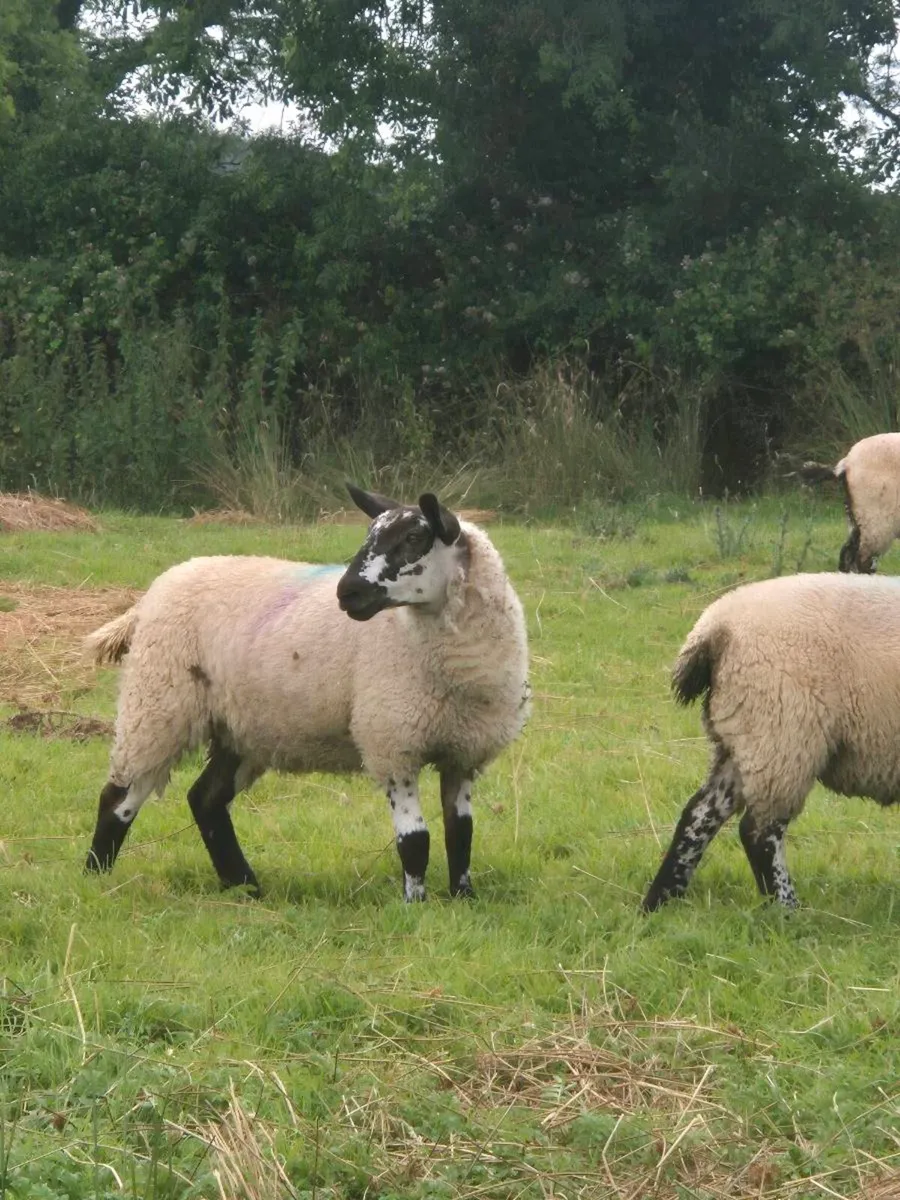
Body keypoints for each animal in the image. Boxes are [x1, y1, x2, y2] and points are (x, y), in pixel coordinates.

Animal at [83, 485, 531, 903]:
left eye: (413, 538)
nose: (347, 592)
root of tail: (150, 595)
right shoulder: (393, 743)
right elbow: (415, 841)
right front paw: (415, 905)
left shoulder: (464, 751)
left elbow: (461, 832)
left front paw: (463, 897)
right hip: (158, 703)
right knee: (118, 797)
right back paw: (95, 877)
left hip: (240, 726)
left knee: (205, 799)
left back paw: (245, 885)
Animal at [642, 572, 900, 912]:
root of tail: (714, 627)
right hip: (783, 733)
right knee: (758, 831)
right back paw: (787, 910)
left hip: (744, 735)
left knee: (699, 815)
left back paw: (659, 902)